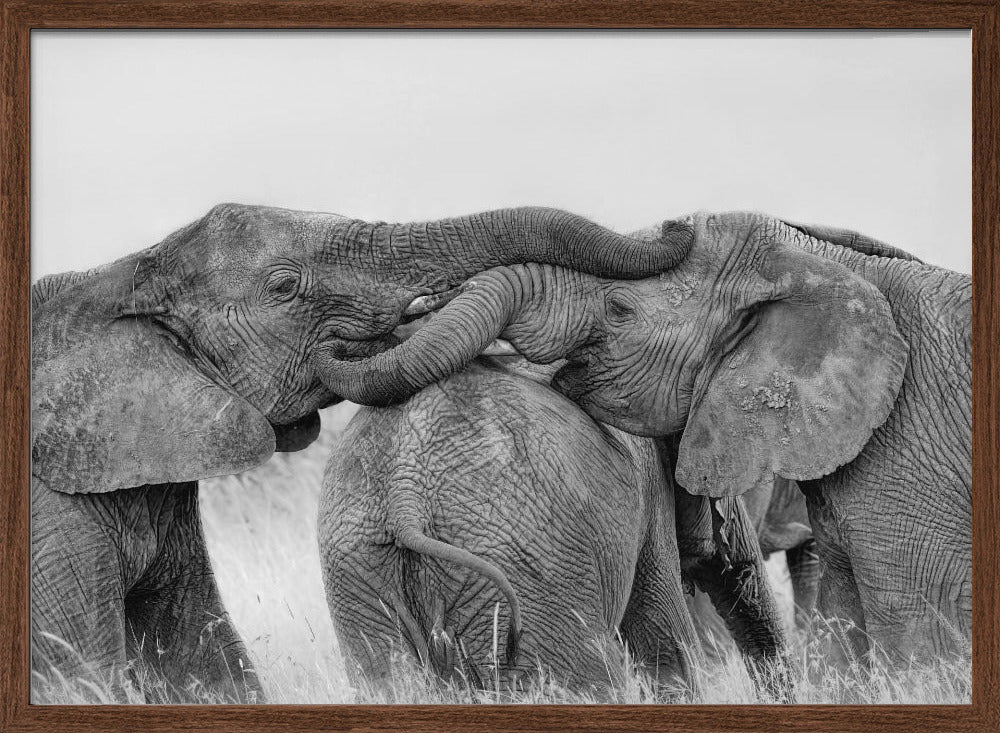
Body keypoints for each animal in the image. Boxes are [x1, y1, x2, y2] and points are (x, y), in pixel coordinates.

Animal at [31, 203, 691, 702]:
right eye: (283, 287)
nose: (676, 227)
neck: (115, 279)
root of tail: (405, 488)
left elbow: (198, 652)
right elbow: (83, 673)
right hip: (534, 564)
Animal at [320, 357, 790, 700]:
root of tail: (405, 492)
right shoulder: (648, 497)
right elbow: (666, 646)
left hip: (357, 572)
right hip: (528, 569)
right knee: (588, 681)